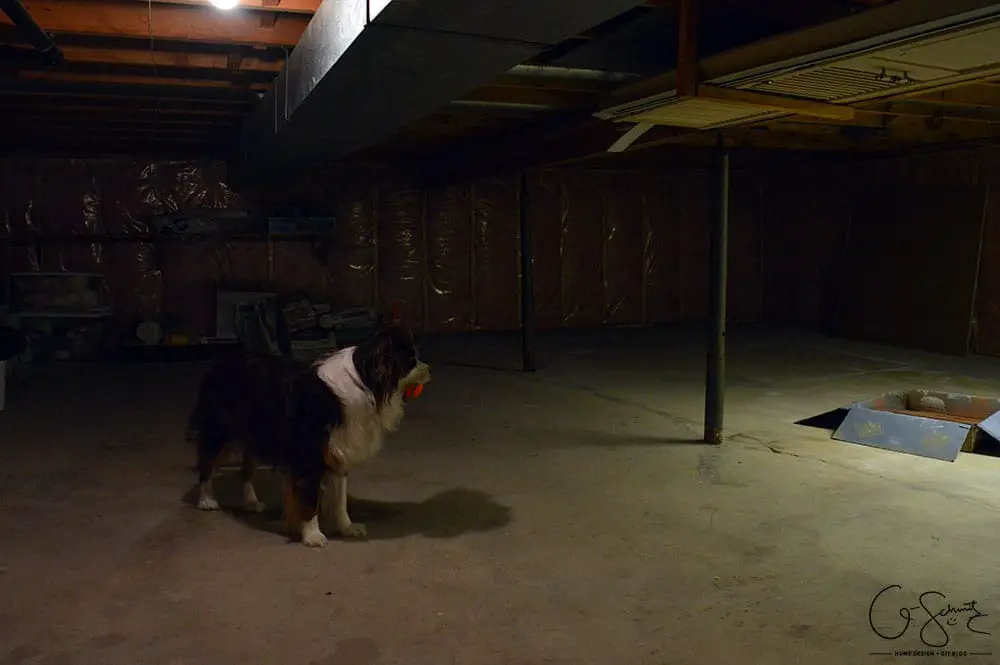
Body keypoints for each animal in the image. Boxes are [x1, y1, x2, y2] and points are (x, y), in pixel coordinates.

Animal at [188, 324, 430, 548]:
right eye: (411, 361)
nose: (429, 368)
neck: (364, 381)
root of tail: (220, 363)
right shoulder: (309, 456)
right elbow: (310, 499)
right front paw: (313, 535)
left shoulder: (338, 451)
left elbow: (340, 499)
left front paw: (347, 527)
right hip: (219, 432)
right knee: (207, 464)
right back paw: (206, 500)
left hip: (255, 434)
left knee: (245, 469)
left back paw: (250, 502)